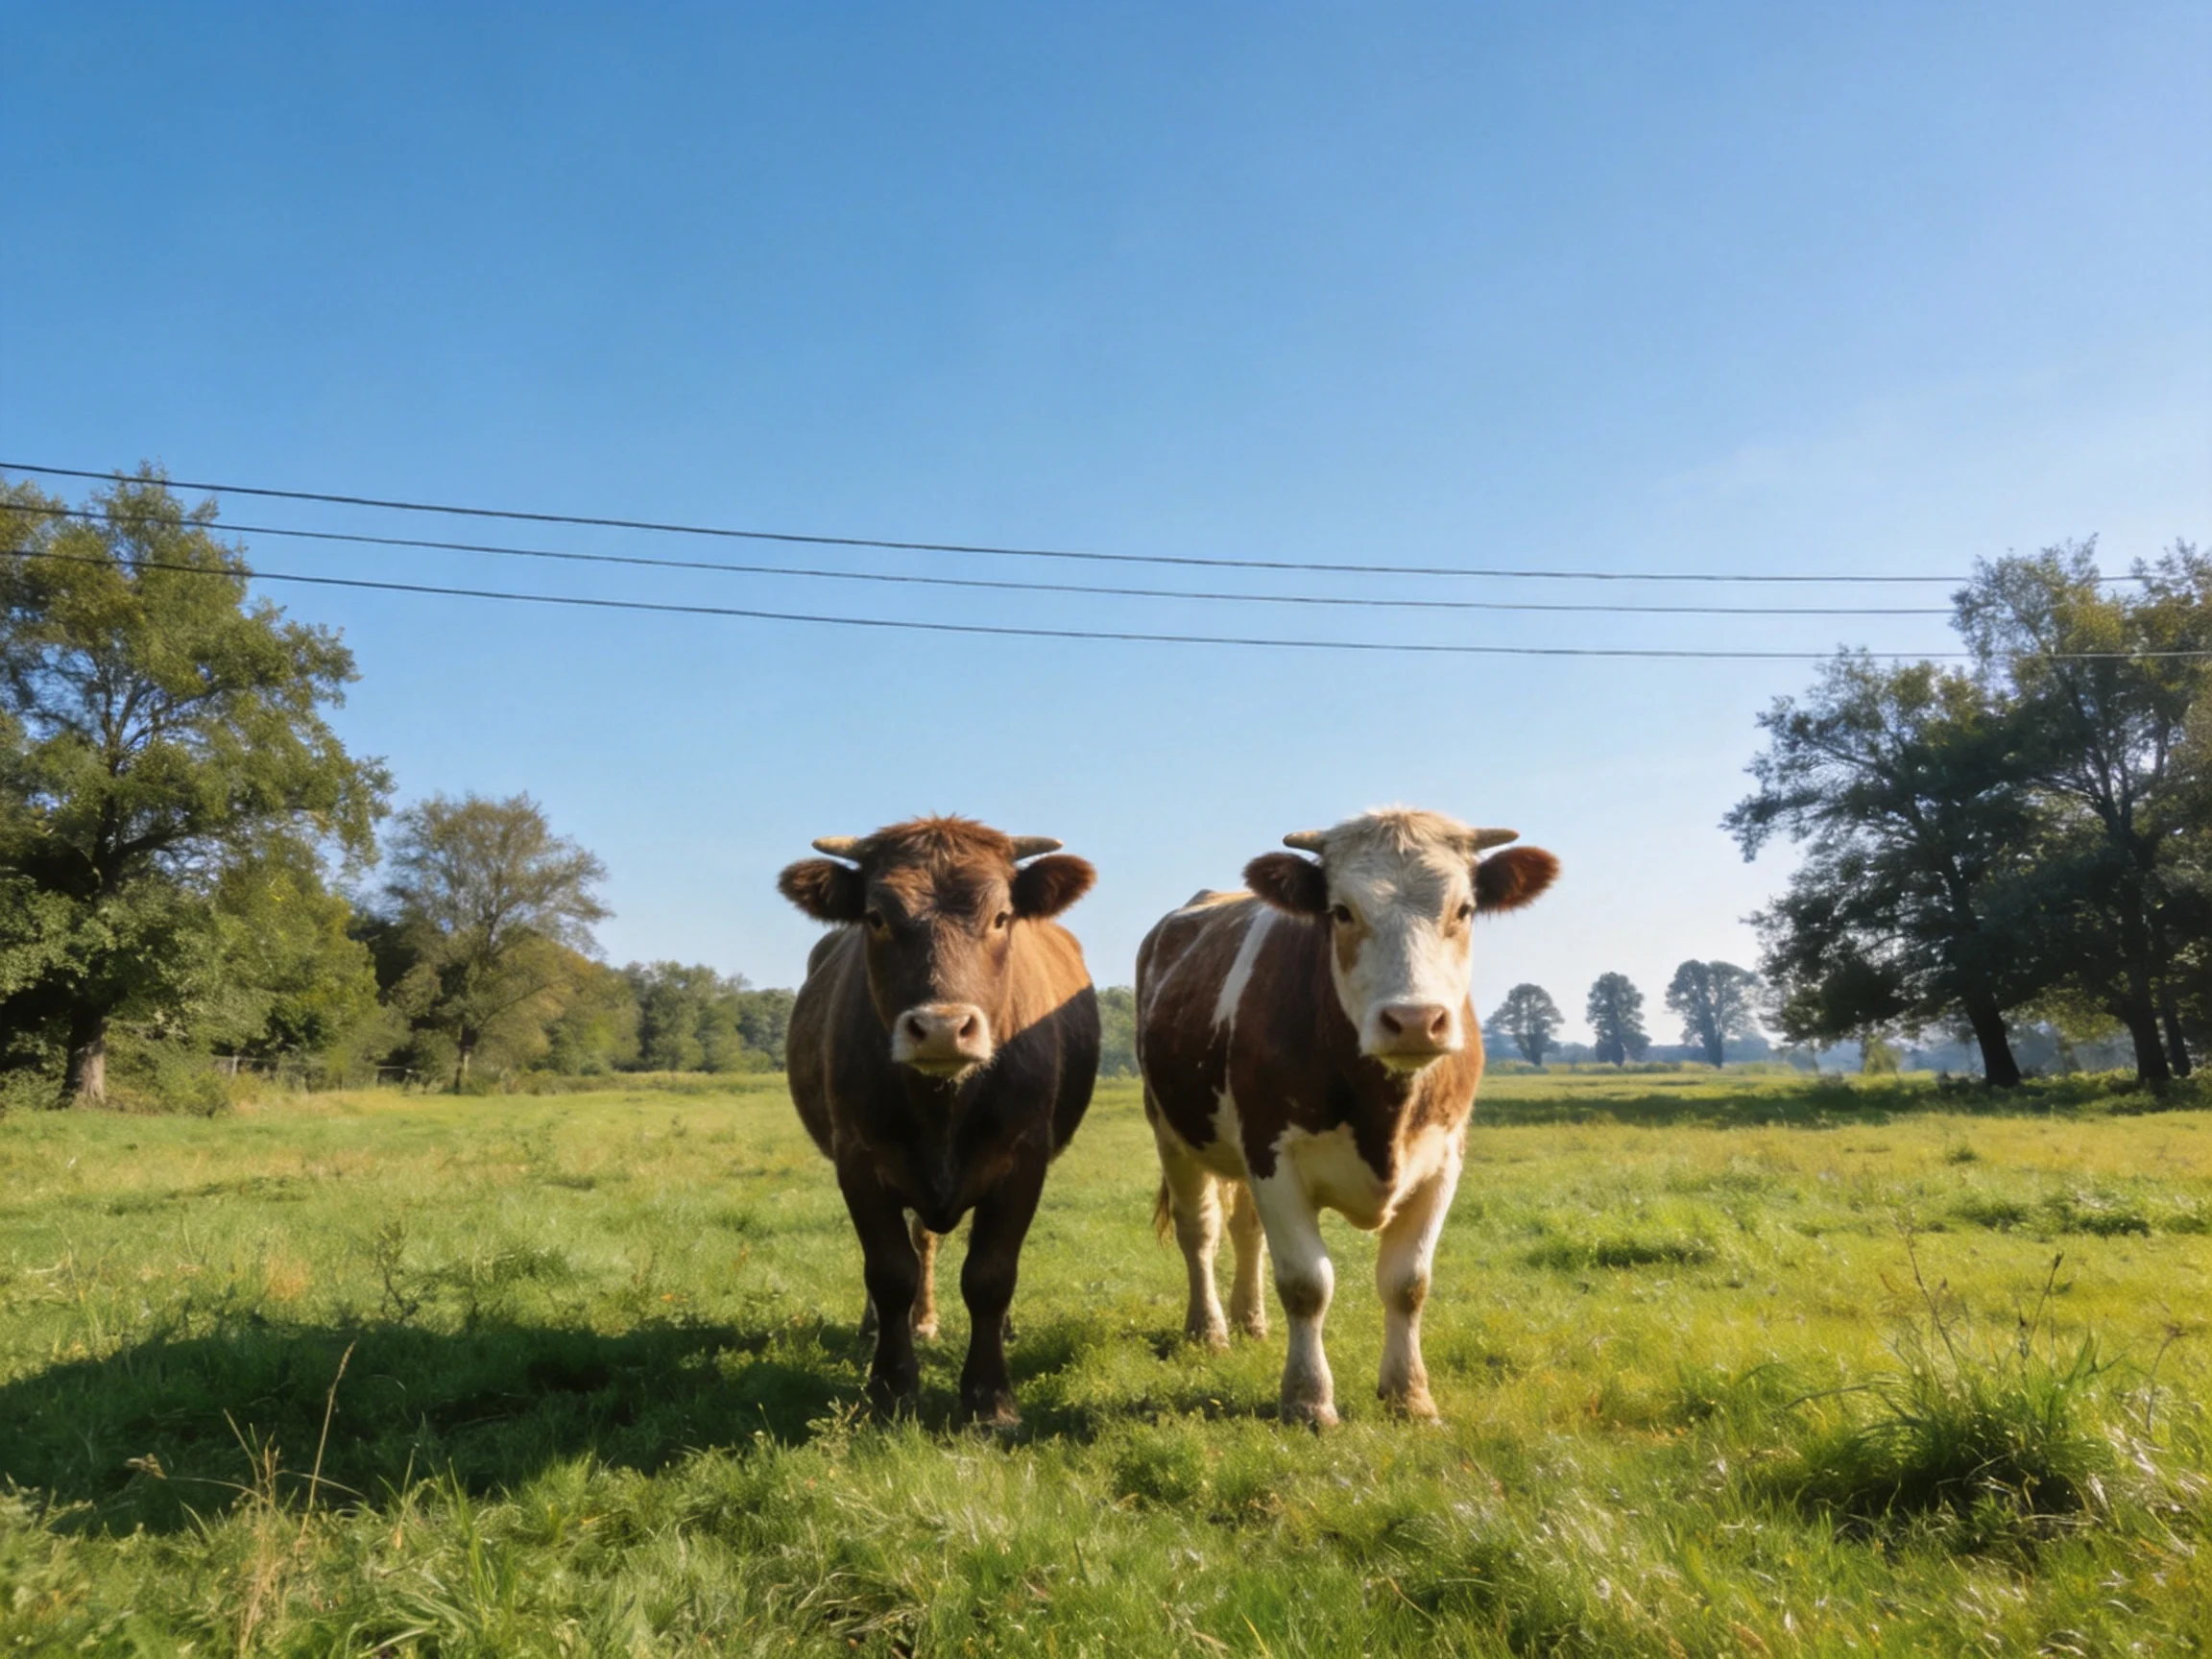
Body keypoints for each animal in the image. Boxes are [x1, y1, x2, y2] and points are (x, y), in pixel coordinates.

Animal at [778, 816, 1100, 1425]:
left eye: (1000, 916)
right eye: (876, 917)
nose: (943, 1029)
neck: (943, 1104)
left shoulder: (1023, 1158)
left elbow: (991, 1275)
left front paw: (990, 1400)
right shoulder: (859, 1157)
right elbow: (889, 1271)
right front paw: (890, 1388)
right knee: (918, 1245)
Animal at [1135, 807, 1557, 1427]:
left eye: (1464, 909)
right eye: (1341, 911)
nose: (1414, 1020)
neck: (1386, 1112)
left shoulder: (1443, 1162)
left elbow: (1408, 1283)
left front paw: (1409, 1396)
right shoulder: (1272, 1155)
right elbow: (1307, 1283)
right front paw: (1308, 1401)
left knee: (1246, 1232)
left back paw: (1249, 1321)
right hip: (1171, 1132)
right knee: (1200, 1230)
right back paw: (1209, 1330)